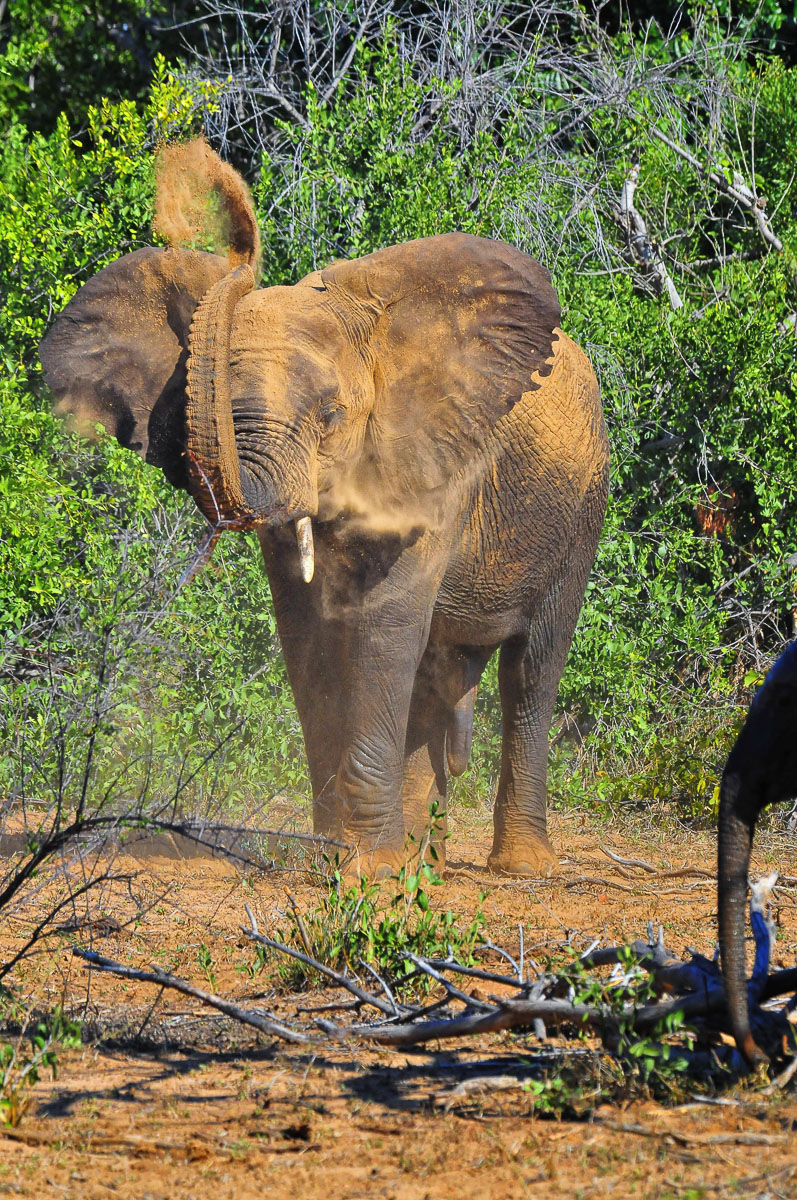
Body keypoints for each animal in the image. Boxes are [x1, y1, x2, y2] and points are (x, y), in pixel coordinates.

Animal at [39, 139, 609, 879]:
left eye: (332, 414)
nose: (212, 177)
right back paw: (422, 861)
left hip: (582, 502)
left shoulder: (435, 457)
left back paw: (518, 867)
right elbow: (307, 632)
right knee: (438, 672)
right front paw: (337, 857)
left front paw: (368, 871)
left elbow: (383, 624)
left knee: (532, 668)